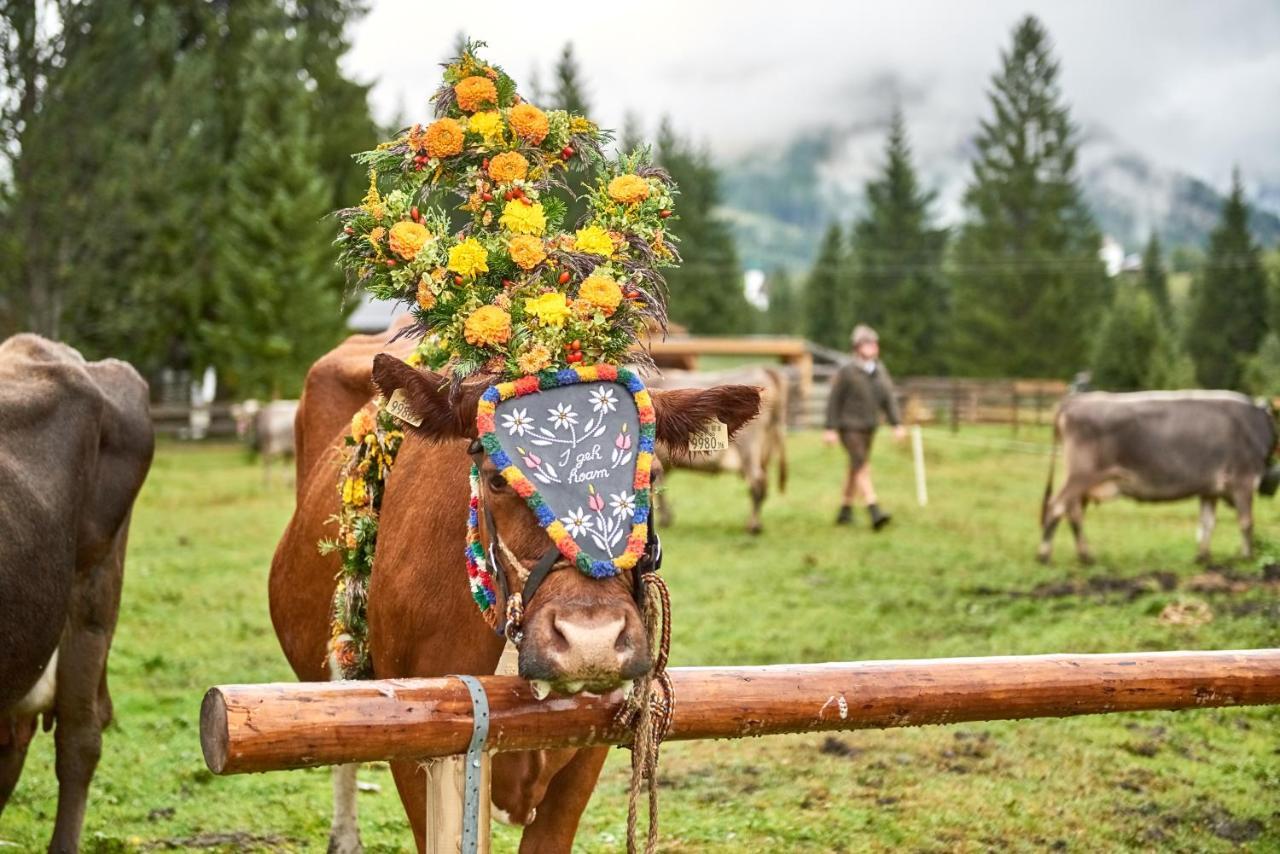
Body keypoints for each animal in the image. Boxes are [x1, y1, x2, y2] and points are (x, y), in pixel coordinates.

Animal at [1039, 391, 1280, 563]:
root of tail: (1075, 400)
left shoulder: (1210, 489)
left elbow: (1207, 523)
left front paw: (1203, 557)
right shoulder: (1243, 481)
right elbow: (1246, 522)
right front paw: (1247, 557)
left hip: (1081, 480)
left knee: (1072, 512)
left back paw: (1085, 556)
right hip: (1081, 475)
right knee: (1057, 506)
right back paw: (1045, 554)